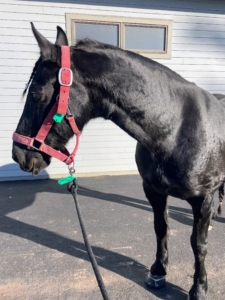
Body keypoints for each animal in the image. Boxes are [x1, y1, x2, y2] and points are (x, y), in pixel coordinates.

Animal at [11, 24, 225, 300]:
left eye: (36, 94)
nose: (19, 155)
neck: (176, 128)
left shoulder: (203, 198)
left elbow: (198, 244)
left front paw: (199, 287)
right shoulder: (154, 191)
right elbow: (161, 228)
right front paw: (158, 271)